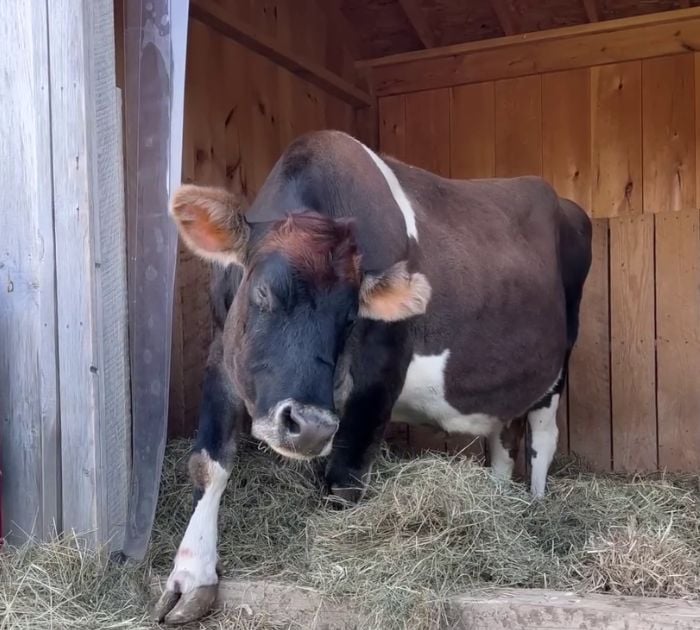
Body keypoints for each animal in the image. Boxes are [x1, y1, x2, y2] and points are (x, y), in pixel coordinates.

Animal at [152, 131, 592, 624]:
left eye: (351, 317)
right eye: (264, 291)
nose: (310, 427)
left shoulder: (379, 379)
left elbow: (344, 481)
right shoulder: (220, 354)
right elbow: (208, 463)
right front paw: (191, 577)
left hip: (557, 369)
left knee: (542, 439)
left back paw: (535, 509)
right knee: (501, 442)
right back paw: (498, 503)